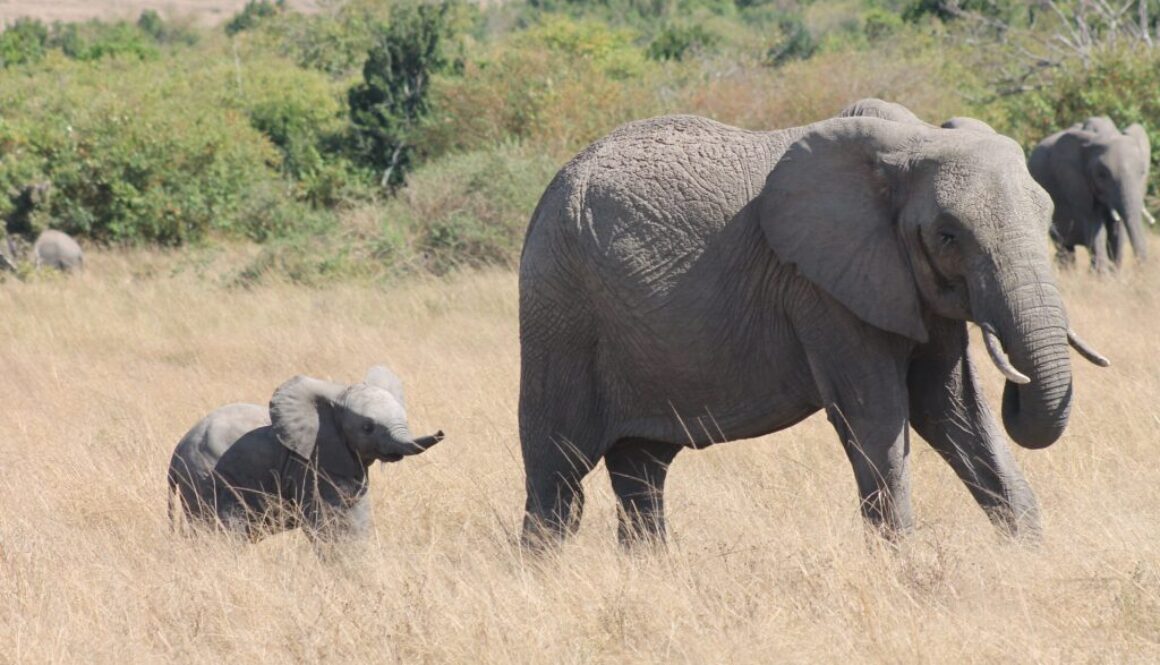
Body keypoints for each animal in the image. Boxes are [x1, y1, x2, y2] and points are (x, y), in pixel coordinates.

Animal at [167, 366, 444, 543]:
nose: (441, 431)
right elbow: (336, 523)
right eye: (367, 427)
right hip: (205, 478)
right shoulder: (312, 466)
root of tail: (176, 450)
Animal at [517, 107, 1109, 548]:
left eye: (1046, 214)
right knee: (557, 478)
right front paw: (902, 568)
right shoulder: (821, 288)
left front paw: (1027, 555)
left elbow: (952, 410)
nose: (1017, 383)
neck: (910, 143)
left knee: (640, 471)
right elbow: (878, 416)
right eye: (947, 235)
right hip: (559, 310)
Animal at [1028, 118, 1152, 271]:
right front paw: (1102, 275)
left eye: (1142, 172)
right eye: (1101, 175)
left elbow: (1117, 230)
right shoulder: (1077, 183)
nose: (1140, 271)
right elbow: (1095, 226)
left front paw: (1114, 274)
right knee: (1064, 245)